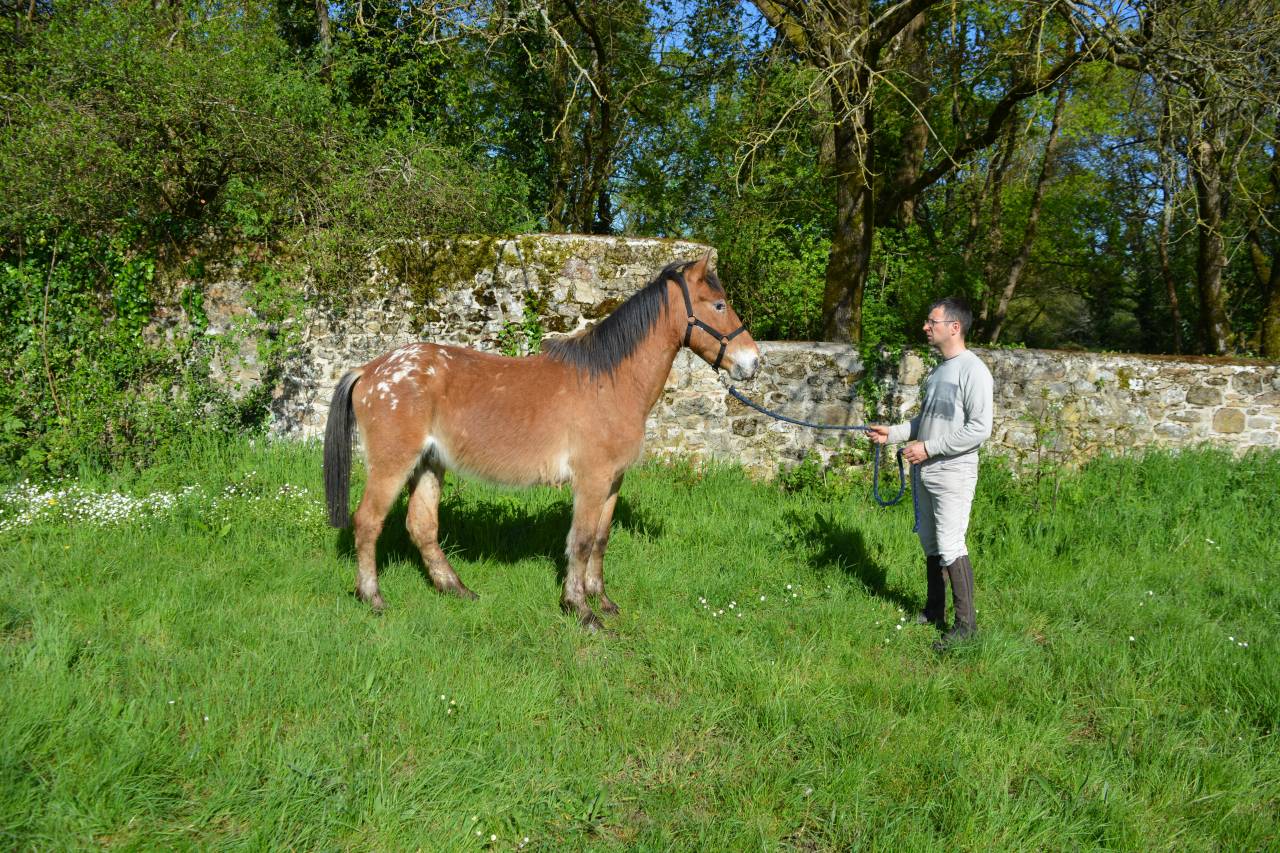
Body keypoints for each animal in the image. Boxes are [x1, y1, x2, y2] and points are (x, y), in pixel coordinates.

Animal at [323, 254, 760, 629]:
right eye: (718, 305)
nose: (752, 362)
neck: (610, 382)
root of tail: (369, 371)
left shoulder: (613, 481)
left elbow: (600, 540)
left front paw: (602, 601)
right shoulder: (591, 480)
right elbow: (581, 542)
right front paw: (580, 610)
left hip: (429, 464)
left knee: (422, 526)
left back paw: (457, 590)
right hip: (393, 465)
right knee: (368, 522)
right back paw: (372, 597)